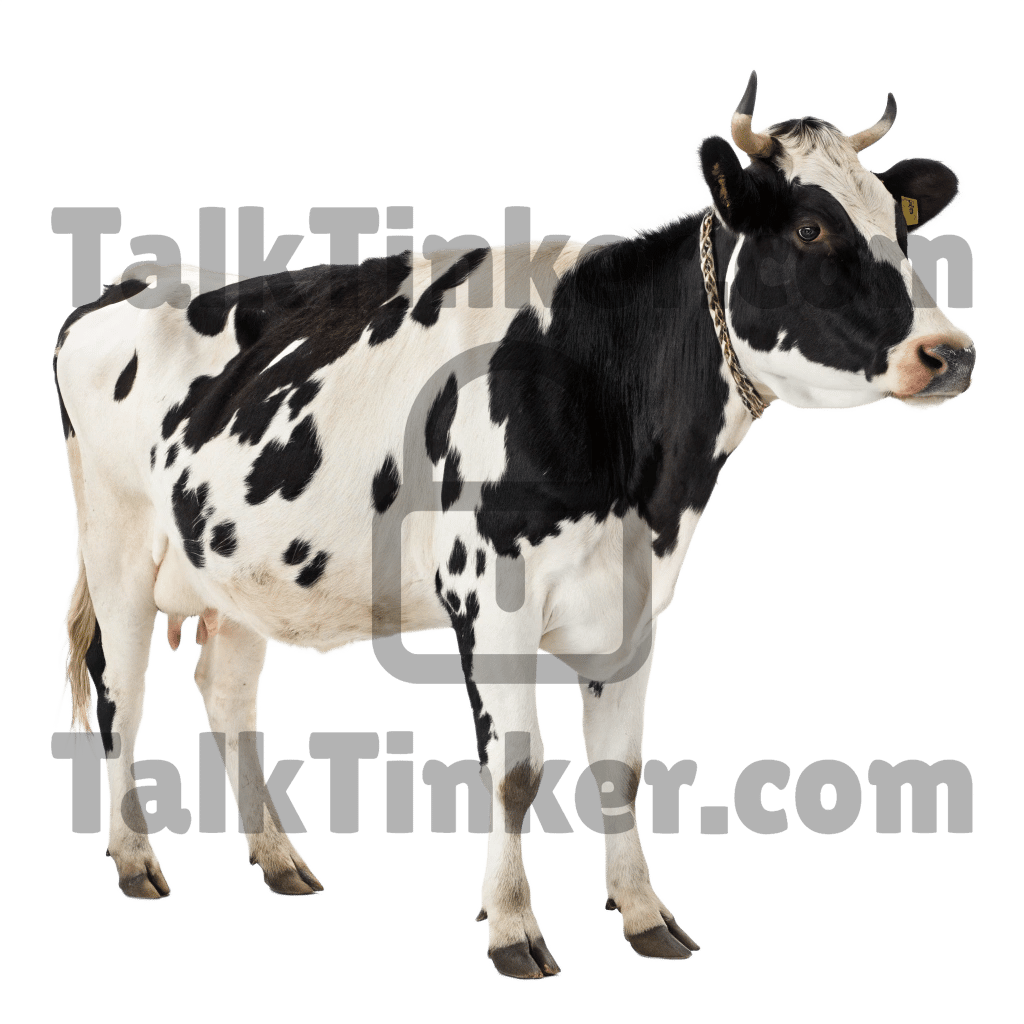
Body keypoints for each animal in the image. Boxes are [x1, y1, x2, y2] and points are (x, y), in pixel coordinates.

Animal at [53, 70, 975, 981]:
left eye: (901, 225)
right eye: (812, 227)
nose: (952, 352)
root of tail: (129, 281)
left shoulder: (632, 600)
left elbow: (620, 767)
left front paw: (645, 916)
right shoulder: (491, 596)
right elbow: (516, 769)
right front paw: (512, 928)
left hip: (237, 572)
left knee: (228, 691)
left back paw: (280, 860)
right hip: (117, 551)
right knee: (120, 694)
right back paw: (136, 863)